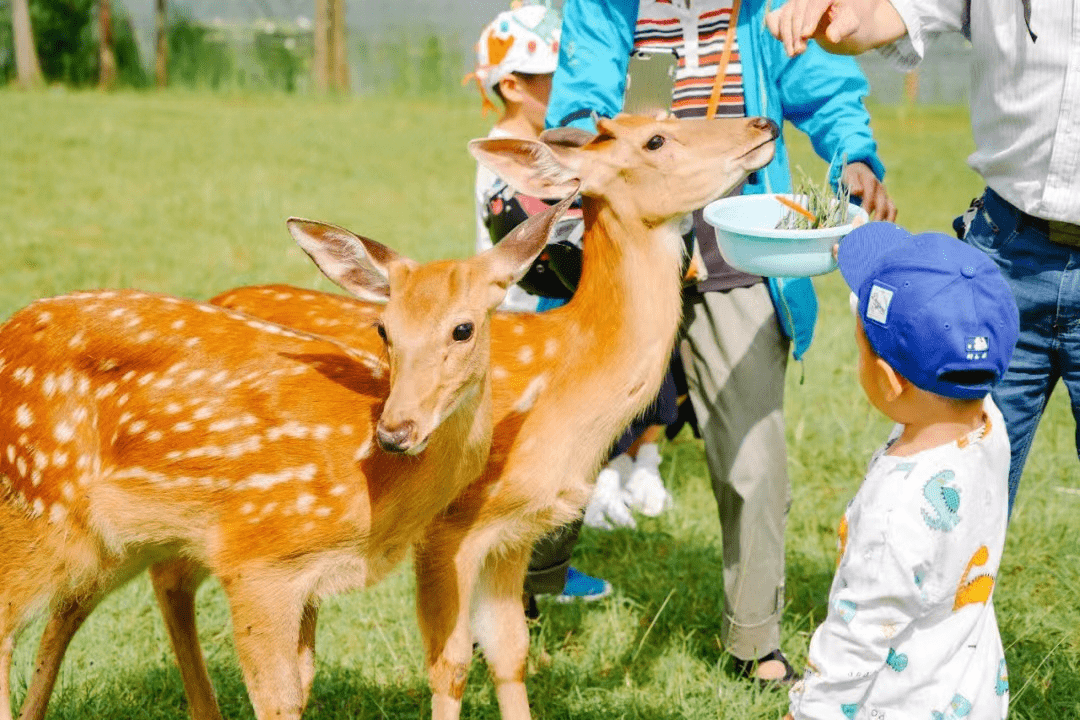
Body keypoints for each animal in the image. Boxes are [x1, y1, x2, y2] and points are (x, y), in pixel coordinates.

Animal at [0, 195, 574, 720]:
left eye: (463, 328)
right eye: (383, 329)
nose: (396, 431)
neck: (374, 484)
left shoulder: (305, 578)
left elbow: (301, 685)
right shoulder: (257, 557)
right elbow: (276, 700)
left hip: (115, 537)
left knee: (64, 609)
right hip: (39, 505)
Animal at [212, 113, 786, 720]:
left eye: (671, 118)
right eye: (656, 140)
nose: (763, 123)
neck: (565, 380)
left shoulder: (515, 530)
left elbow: (511, 651)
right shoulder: (449, 526)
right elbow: (451, 665)